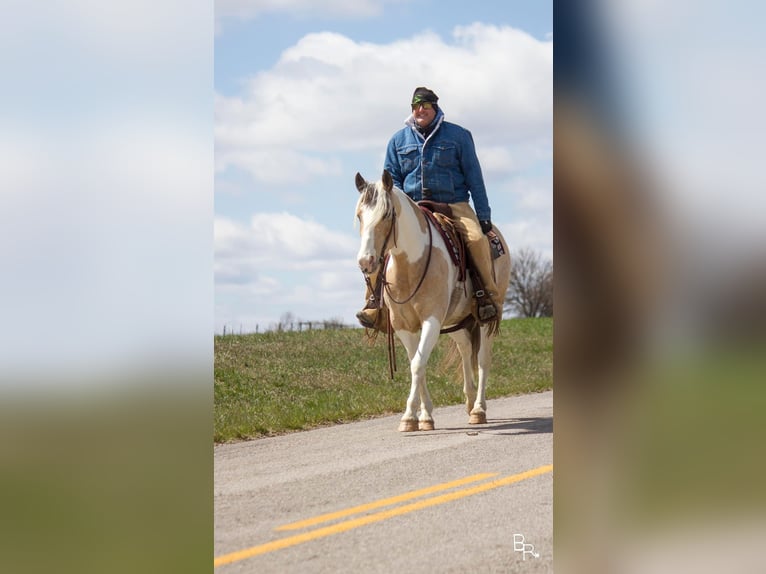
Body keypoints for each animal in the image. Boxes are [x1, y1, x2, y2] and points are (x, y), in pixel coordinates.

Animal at [356, 170, 512, 432]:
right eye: (359, 216)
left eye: (386, 214)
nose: (365, 261)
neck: (410, 266)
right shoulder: (403, 326)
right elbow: (416, 364)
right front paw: (425, 415)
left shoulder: (431, 320)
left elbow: (418, 364)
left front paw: (410, 417)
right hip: (457, 318)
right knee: (465, 349)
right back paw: (469, 401)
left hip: (486, 316)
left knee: (482, 359)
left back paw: (478, 409)